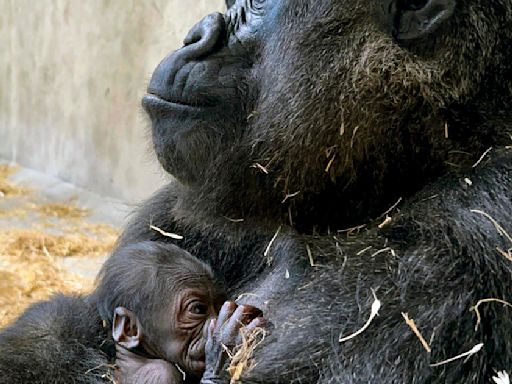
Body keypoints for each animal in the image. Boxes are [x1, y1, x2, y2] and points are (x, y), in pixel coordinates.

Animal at [96, 242, 266, 382]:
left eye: (219, 306)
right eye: (198, 309)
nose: (217, 320)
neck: (138, 356)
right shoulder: (161, 373)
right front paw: (224, 343)